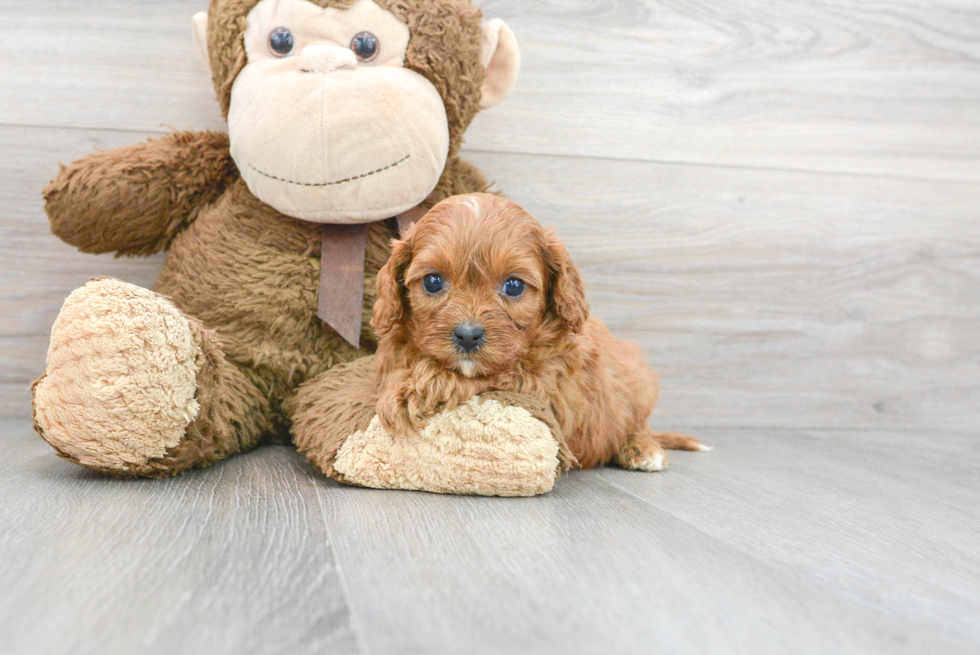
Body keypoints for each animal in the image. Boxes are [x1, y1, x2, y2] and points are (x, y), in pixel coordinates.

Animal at [372, 192, 708, 468]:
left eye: (514, 286)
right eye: (432, 281)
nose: (468, 335)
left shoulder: (545, 390)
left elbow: (496, 373)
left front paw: (416, 388)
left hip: (639, 382)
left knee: (637, 424)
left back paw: (643, 448)